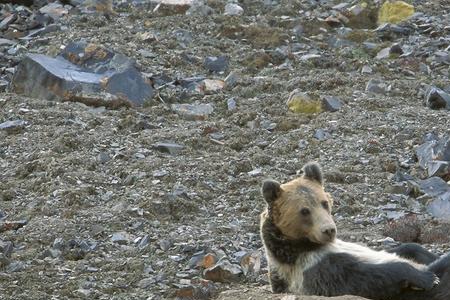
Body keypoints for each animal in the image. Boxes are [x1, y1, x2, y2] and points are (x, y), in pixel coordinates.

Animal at [260, 162, 450, 300]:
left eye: (324, 203)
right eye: (304, 211)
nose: (329, 230)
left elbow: (405, 249)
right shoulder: (315, 267)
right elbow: (371, 276)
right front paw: (427, 277)